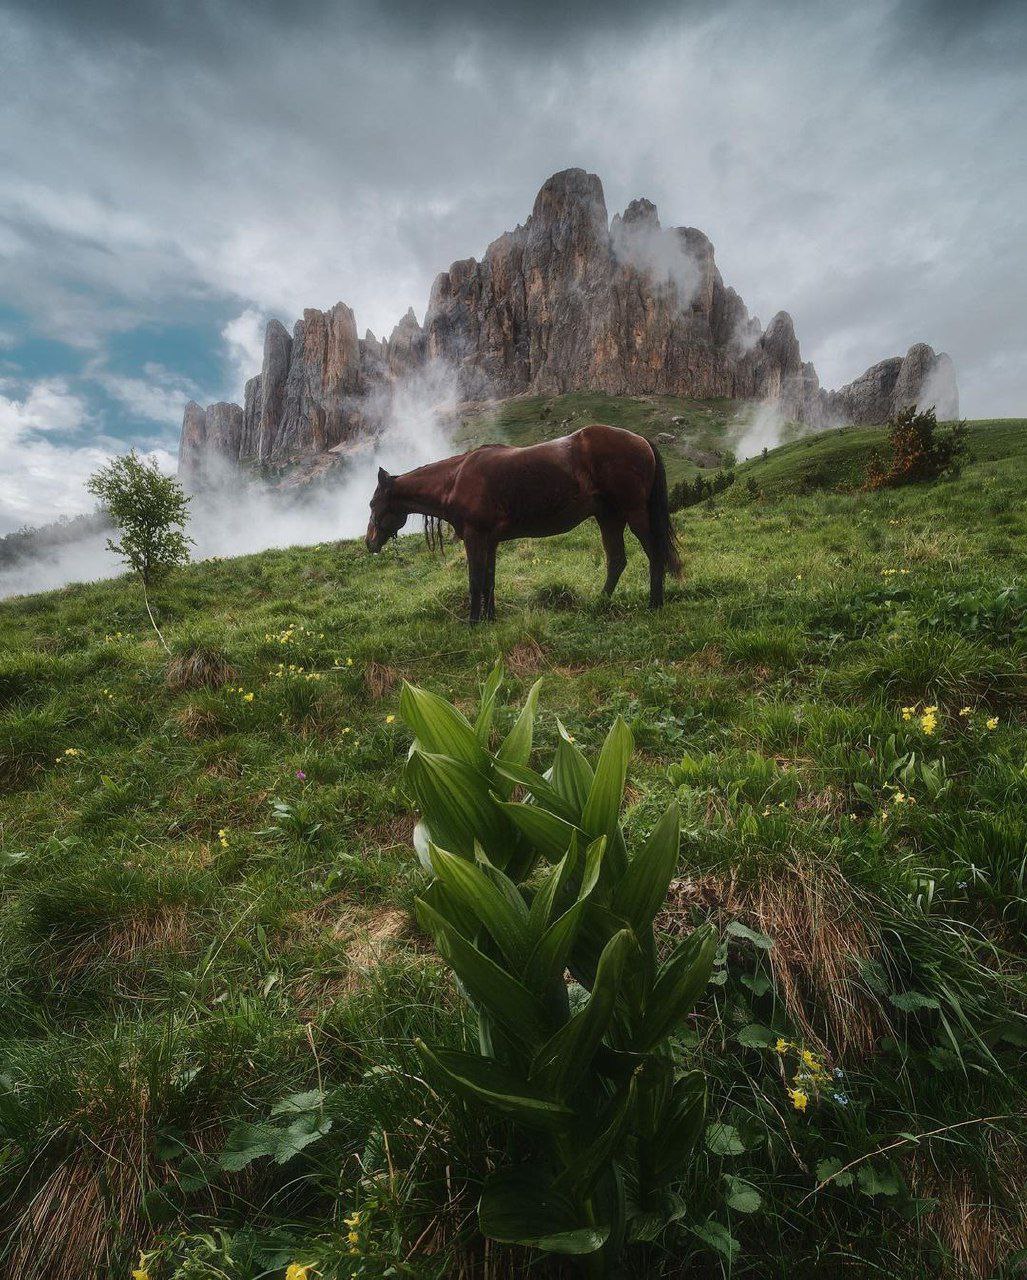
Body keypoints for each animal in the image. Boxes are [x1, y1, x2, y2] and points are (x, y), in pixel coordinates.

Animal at [363, 422, 676, 622]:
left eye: (372, 504)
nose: (370, 542)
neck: (456, 480)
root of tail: (641, 440)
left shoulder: (476, 538)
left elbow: (475, 580)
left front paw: (473, 622)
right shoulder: (490, 541)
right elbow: (489, 580)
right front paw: (490, 618)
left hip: (634, 514)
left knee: (654, 554)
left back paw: (655, 603)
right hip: (608, 518)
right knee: (617, 560)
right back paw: (599, 603)